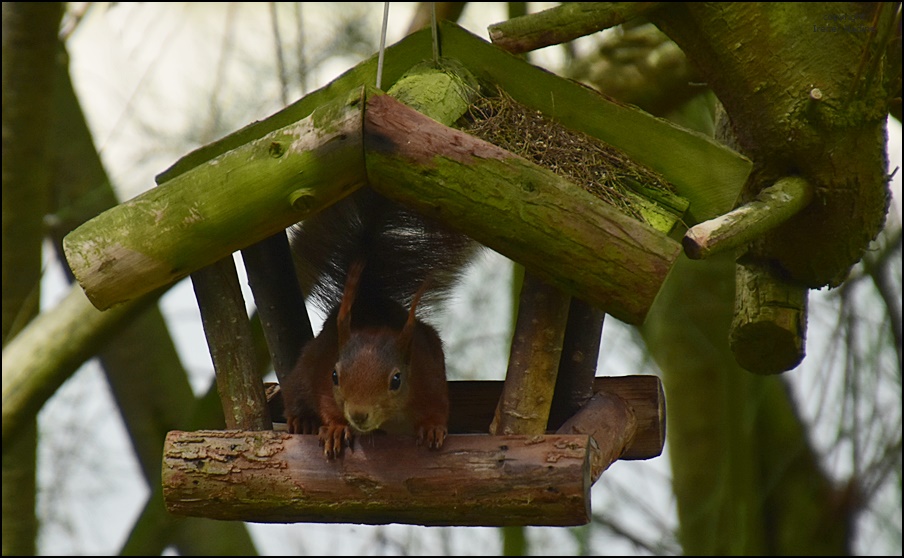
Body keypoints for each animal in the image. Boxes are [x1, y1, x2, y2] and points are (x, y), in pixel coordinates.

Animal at [282, 188, 476, 460]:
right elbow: (328, 406)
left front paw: (433, 428)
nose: (358, 415)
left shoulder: (430, 377)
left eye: (396, 380)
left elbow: (437, 409)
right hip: (304, 370)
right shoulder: (324, 379)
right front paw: (336, 429)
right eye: (335, 376)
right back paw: (303, 421)